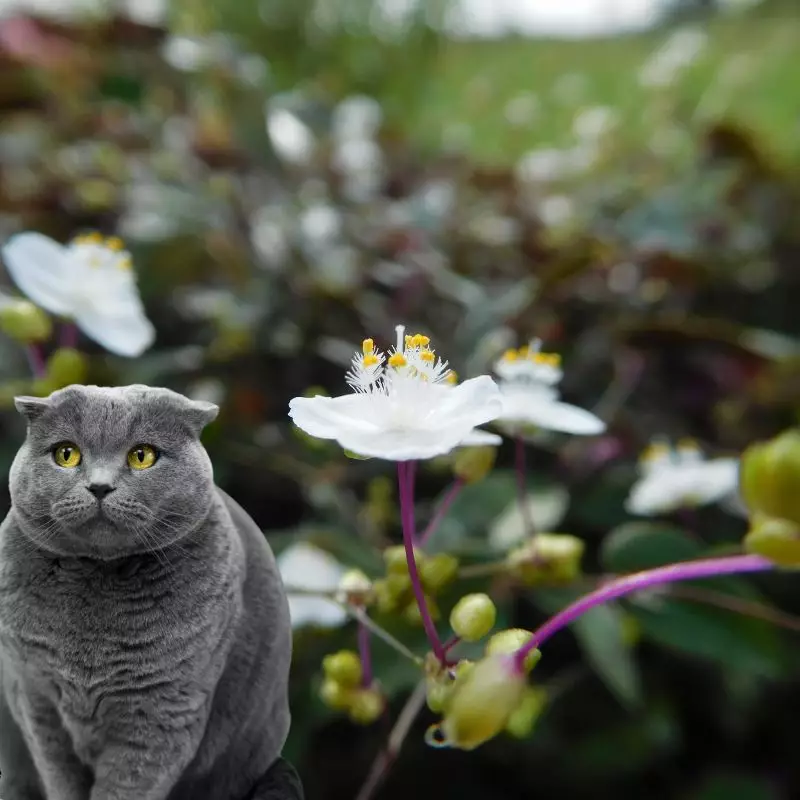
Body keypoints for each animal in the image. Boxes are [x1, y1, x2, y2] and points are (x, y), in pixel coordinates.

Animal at [0, 384, 296, 796]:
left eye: (142, 456)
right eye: (66, 453)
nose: (100, 486)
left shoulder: (163, 710)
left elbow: (126, 786)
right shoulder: (35, 698)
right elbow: (59, 778)